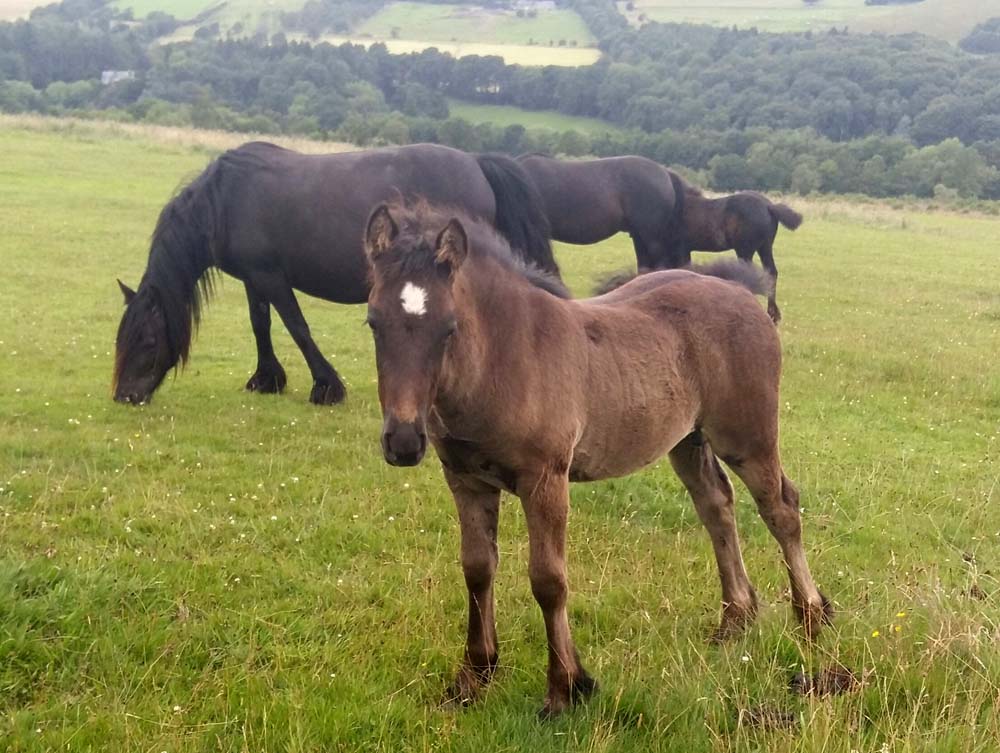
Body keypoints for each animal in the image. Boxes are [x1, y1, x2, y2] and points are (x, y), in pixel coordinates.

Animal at [115, 144, 564, 408]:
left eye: (148, 340)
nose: (124, 395)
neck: (224, 201)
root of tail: (477, 162)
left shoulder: (271, 277)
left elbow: (297, 326)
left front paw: (326, 386)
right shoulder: (253, 279)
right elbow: (260, 324)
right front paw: (266, 379)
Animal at [364, 200, 832, 716]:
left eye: (448, 328)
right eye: (373, 323)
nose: (404, 441)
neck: (505, 359)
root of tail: (738, 289)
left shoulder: (545, 479)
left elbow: (548, 580)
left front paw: (565, 688)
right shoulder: (466, 479)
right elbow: (477, 569)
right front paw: (473, 677)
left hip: (746, 436)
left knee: (781, 508)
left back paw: (811, 617)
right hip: (688, 441)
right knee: (716, 507)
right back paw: (735, 621)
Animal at [672, 181, 804, 324]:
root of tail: (769, 206)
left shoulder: (680, 249)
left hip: (745, 250)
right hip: (765, 247)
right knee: (771, 272)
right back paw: (772, 314)